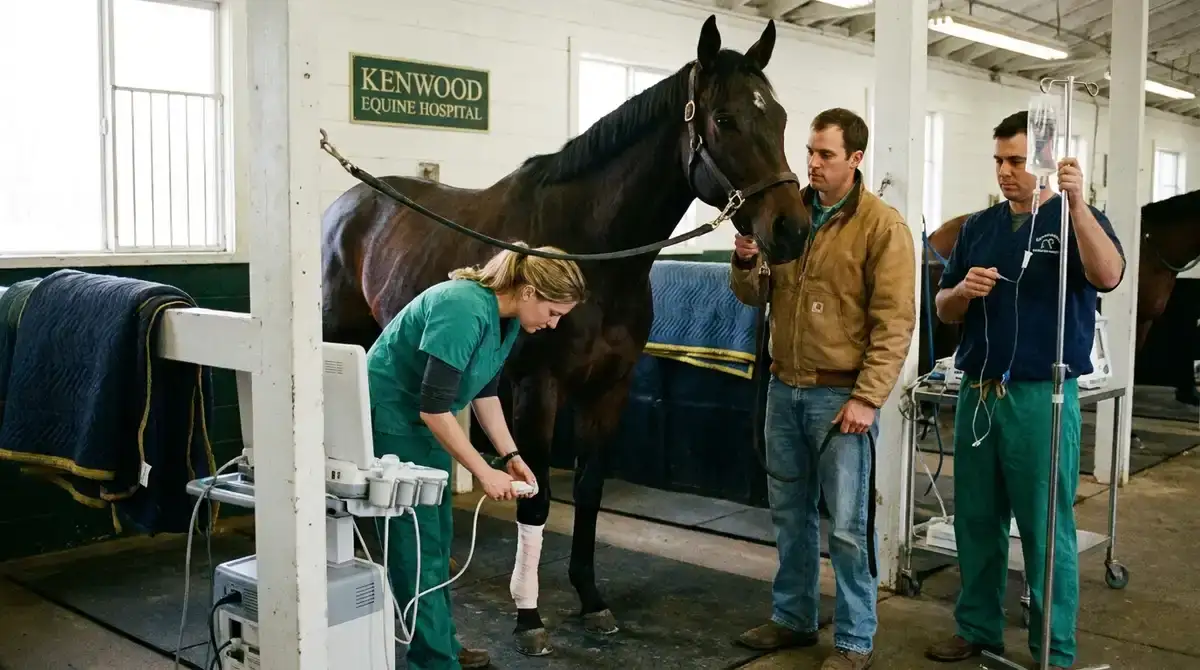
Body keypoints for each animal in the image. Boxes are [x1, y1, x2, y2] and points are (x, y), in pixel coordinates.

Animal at [320, 15, 810, 656]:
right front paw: (528, 617)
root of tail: (346, 203)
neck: (590, 253)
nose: (793, 229)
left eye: (780, 117)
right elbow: (539, 500)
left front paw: (591, 599)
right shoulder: (539, 388)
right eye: (725, 119)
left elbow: (589, 491)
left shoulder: (610, 389)